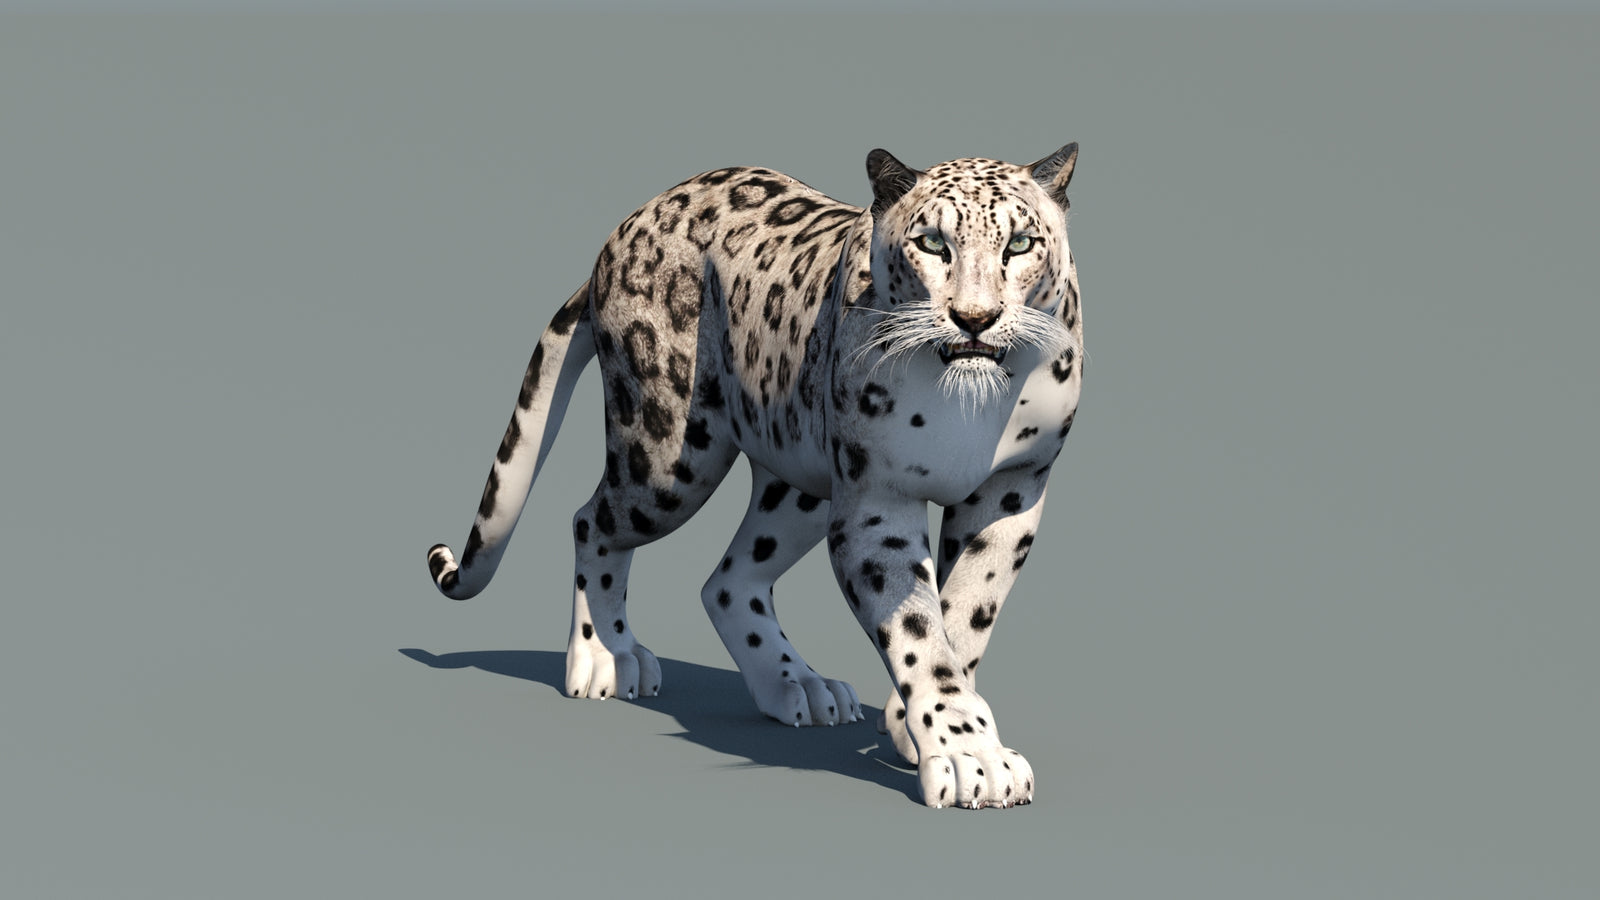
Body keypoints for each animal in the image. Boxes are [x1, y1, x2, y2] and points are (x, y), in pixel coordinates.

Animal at [425, 144, 1084, 809]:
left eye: (1020, 243)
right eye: (932, 243)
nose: (975, 318)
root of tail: (631, 222)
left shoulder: (1011, 492)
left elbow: (968, 610)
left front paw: (913, 727)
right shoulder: (878, 498)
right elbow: (920, 629)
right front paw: (969, 756)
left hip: (800, 481)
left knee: (728, 578)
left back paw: (799, 686)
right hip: (668, 457)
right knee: (594, 521)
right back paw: (607, 657)